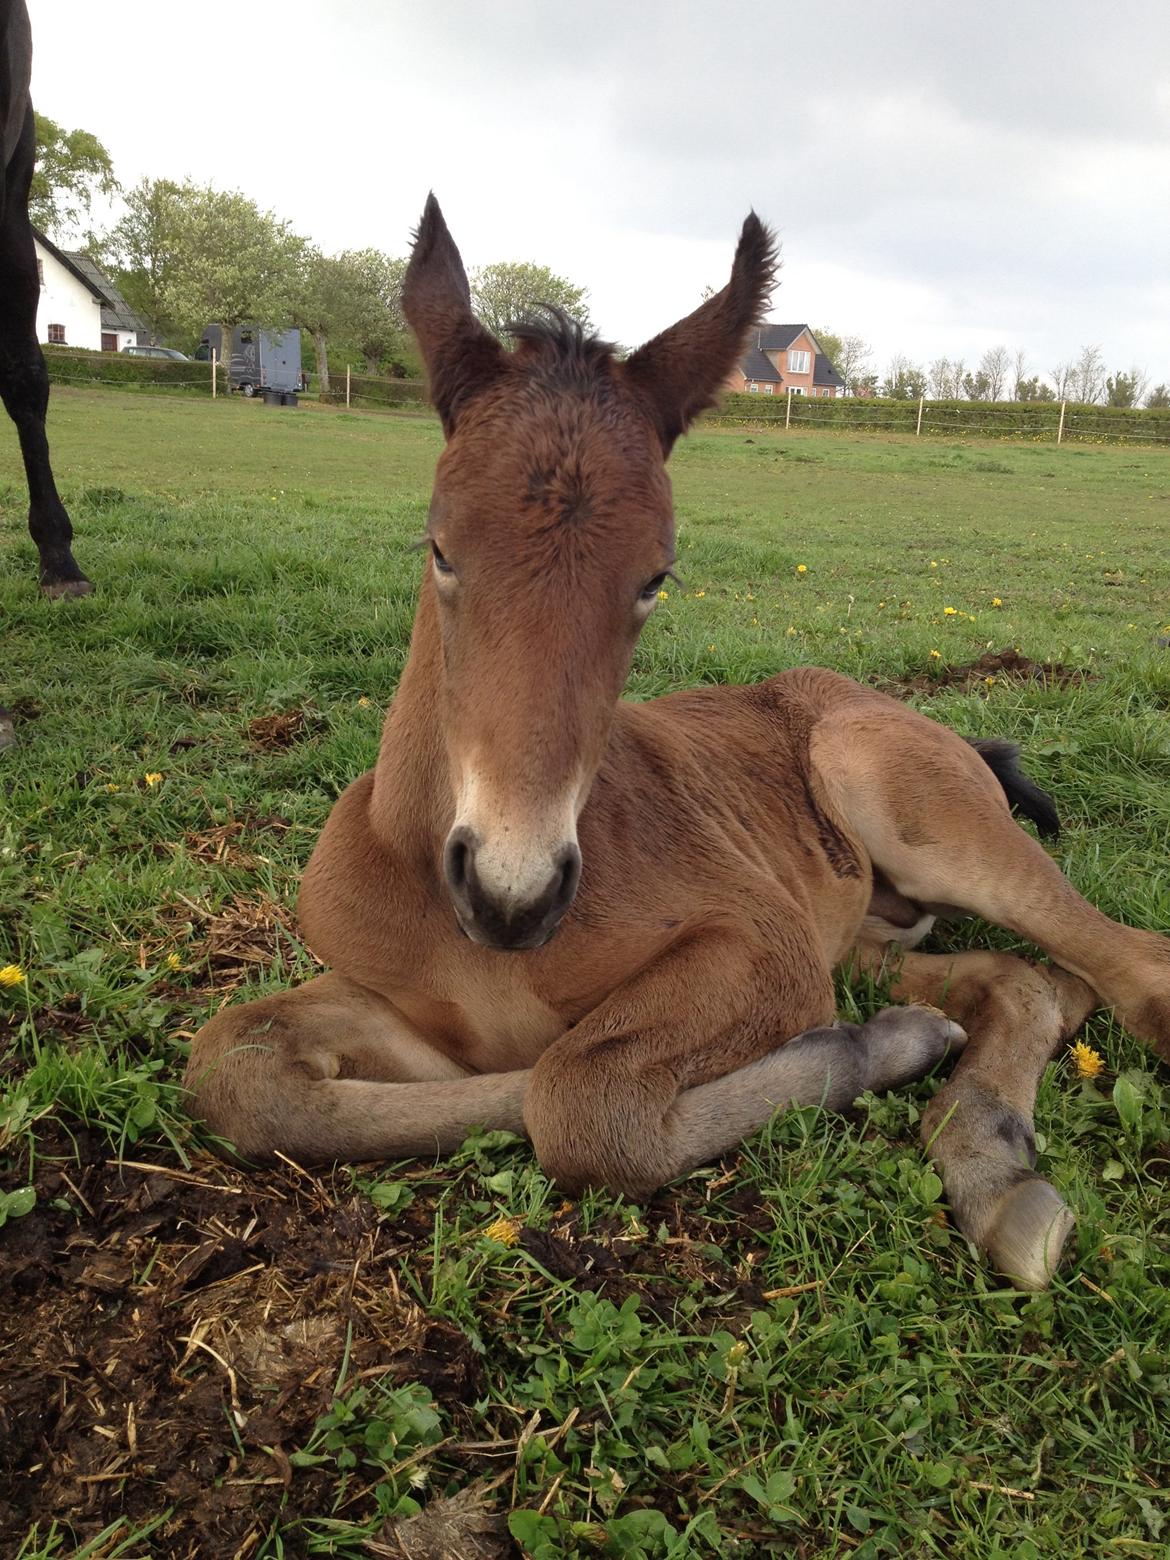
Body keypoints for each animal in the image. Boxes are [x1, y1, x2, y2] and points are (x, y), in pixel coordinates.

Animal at [183, 195, 1170, 1291]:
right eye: (439, 546)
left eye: (656, 577)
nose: (513, 892)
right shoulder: (395, 1005)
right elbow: (238, 1072)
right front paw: (889, 1042)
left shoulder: (764, 946)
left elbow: (572, 1096)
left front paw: (868, 1050)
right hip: (869, 935)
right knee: (1029, 981)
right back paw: (986, 1150)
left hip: (896, 792)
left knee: (1134, 969)